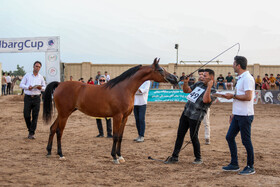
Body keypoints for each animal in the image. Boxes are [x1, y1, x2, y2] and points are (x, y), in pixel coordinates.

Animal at [42, 58, 177, 164]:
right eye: (160, 70)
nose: (174, 78)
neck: (123, 88)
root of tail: (59, 84)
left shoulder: (125, 117)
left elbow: (121, 136)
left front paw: (120, 156)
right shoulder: (117, 116)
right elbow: (115, 136)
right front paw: (114, 157)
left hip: (63, 114)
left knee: (52, 128)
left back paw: (49, 151)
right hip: (64, 114)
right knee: (59, 131)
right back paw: (61, 154)